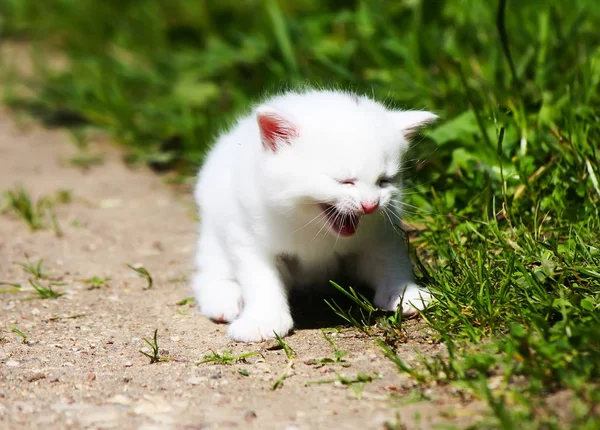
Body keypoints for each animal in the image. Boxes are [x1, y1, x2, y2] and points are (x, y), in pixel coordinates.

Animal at [192, 89, 436, 340]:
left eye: (384, 181)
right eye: (344, 181)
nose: (370, 205)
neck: (311, 226)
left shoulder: (382, 230)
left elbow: (390, 260)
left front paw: (405, 293)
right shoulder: (248, 236)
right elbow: (260, 279)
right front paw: (263, 320)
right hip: (213, 233)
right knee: (209, 273)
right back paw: (224, 299)